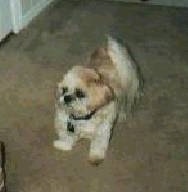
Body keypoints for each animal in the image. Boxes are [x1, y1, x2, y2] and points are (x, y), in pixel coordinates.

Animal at [53, 36, 142, 165]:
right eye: (64, 90)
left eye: (79, 93)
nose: (66, 97)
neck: (82, 117)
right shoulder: (65, 123)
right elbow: (66, 136)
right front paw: (63, 145)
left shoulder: (102, 131)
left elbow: (98, 145)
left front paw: (95, 157)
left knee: (124, 105)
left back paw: (121, 115)